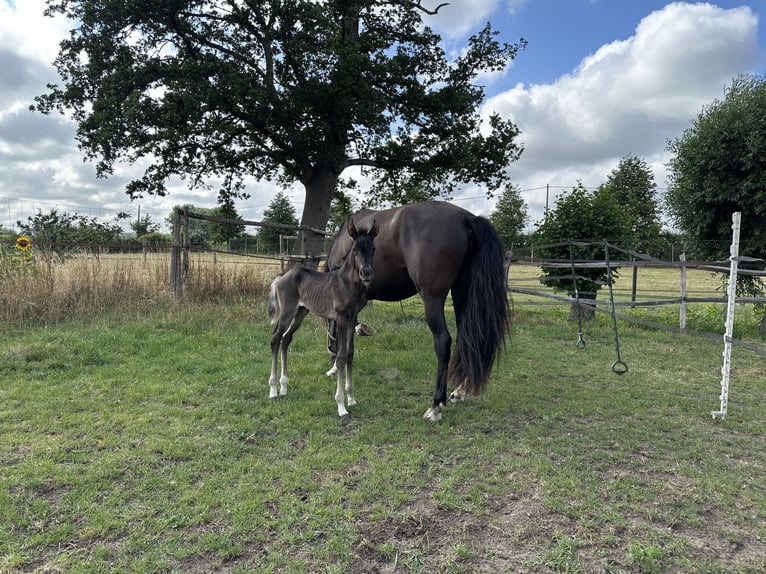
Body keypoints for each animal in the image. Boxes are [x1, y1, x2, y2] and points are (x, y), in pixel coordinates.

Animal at [268, 218, 379, 417]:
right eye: (355, 250)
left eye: (373, 249)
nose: (366, 273)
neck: (348, 284)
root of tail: (282, 276)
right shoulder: (341, 320)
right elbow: (340, 358)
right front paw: (341, 405)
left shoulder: (352, 319)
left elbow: (350, 354)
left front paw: (351, 398)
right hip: (287, 313)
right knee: (275, 338)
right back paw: (273, 390)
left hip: (301, 312)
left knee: (286, 339)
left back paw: (284, 387)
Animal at [325, 201, 510, 422]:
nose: (330, 361)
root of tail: (466, 218)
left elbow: (345, 337)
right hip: (462, 293)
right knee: (466, 338)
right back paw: (459, 391)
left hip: (432, 299)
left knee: (443, 342)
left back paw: (436, 406)